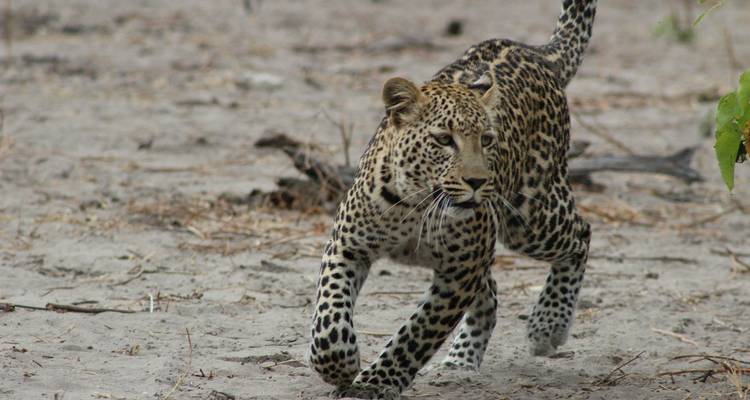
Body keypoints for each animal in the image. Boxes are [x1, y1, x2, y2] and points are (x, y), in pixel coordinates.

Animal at [308, 1, 596, 398]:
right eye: (444, 140)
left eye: (487, 140)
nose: (477, 181)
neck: (414, 206)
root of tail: (534, 51)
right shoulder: (347, 247)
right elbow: (329, 314)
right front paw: (340, 364)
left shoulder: (460, 273)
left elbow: (416, 334)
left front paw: (374, 383)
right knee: (491, 290)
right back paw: (460, 362)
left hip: (529, 216)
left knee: (581, 233)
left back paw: (547, 324)